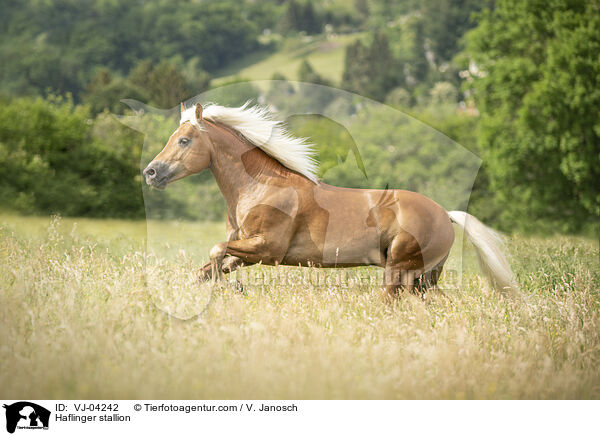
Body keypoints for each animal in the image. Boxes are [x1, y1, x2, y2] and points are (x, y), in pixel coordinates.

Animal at [145, 102, 520, 298]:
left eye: (184, 140)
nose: (150, 172)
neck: (261, 186)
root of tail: (445, 214)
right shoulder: (247, 250)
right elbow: (207, 267)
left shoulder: (267, 248)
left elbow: (215, 251)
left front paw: (232, 288)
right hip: (422, 278)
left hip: (400, 271)